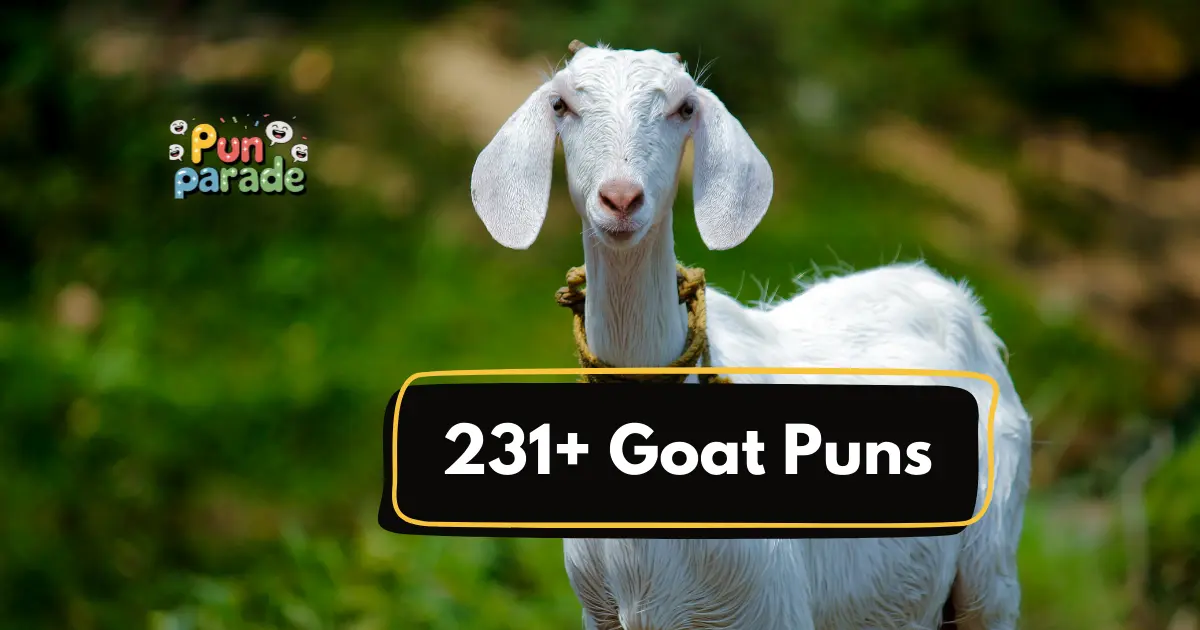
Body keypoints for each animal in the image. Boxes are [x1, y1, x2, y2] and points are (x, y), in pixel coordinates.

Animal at [469, 40, 1032, 630]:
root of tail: (946, 289)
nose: (621, 200)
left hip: (992, 569)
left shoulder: (771, 605)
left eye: (684, 107)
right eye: (561, 104)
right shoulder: (600, 614)